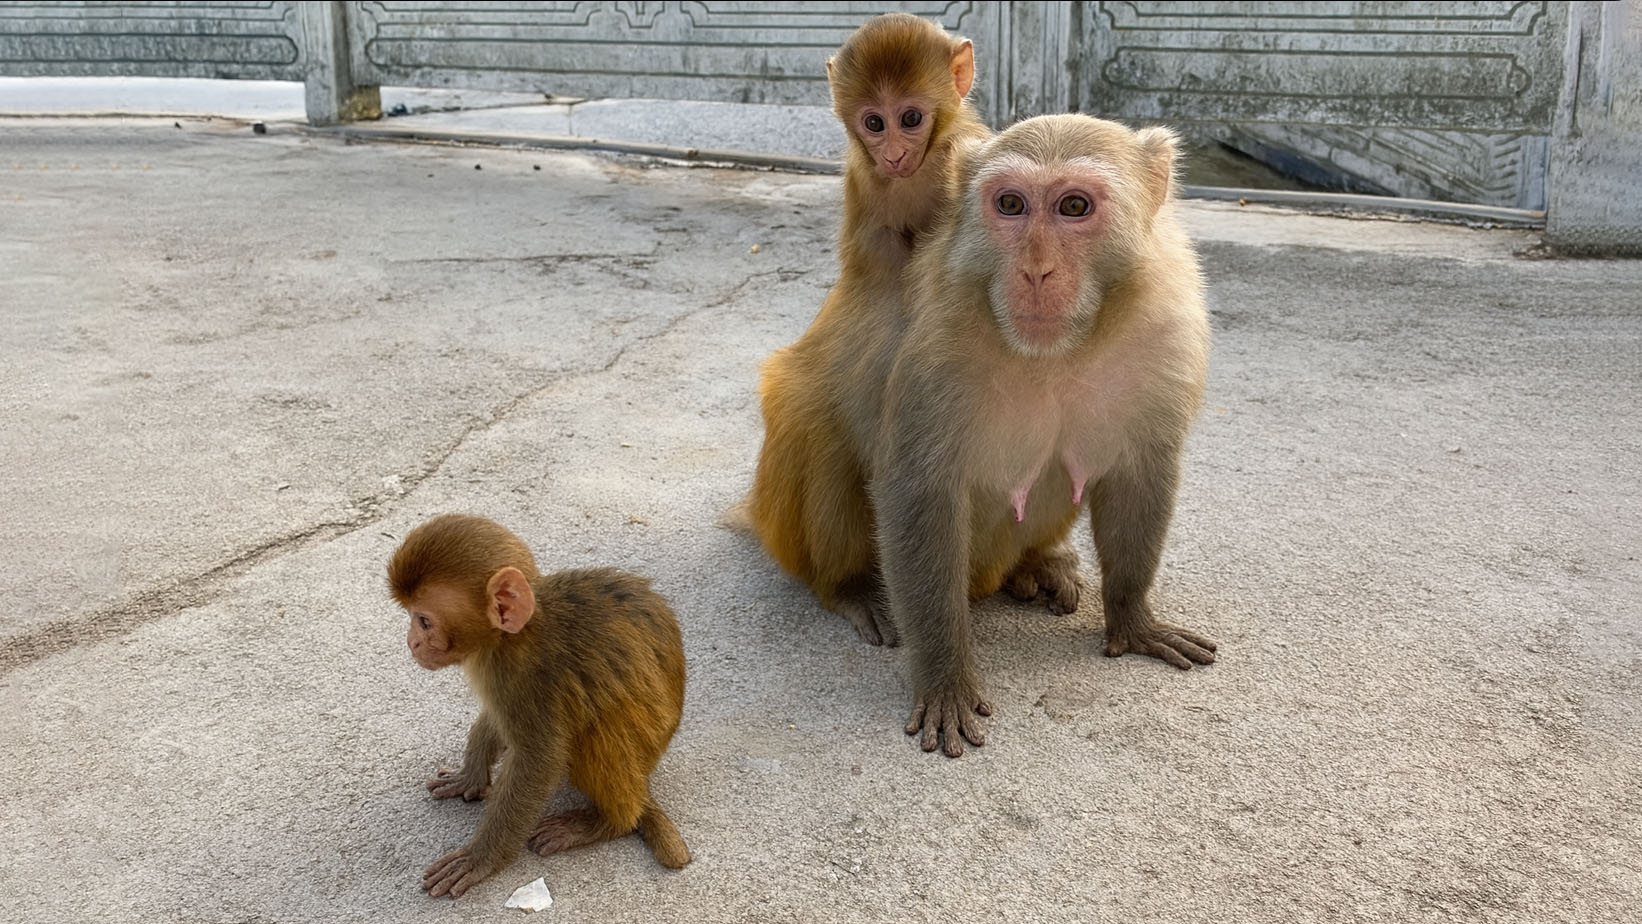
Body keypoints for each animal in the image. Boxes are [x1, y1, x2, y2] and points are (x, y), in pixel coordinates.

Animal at [387, 514, 690, 898]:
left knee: (595, 733)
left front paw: (481, 858)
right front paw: (470, 775)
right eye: (412, 618)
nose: (411, 642)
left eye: (424, 621)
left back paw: (610, 821)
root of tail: (643, 779)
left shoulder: (529, 677)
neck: (510, 637)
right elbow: (497, 720)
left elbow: (539, 759)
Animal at [746, 13, 998, 647]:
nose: (893, 152)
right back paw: (850, 589)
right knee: (815, 426)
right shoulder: (874, 185)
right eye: (874, 122)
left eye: (910, 118)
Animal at [868, 114, 1219, 757]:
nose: (1035, 271)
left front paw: (1132, 617)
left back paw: (1039, 565)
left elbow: (1140, 472)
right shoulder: (935, 349)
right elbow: (919, 492)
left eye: (1074, 206)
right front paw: (945, 676)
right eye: (1010, 204)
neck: (1057, 352)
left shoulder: (1167, 335)